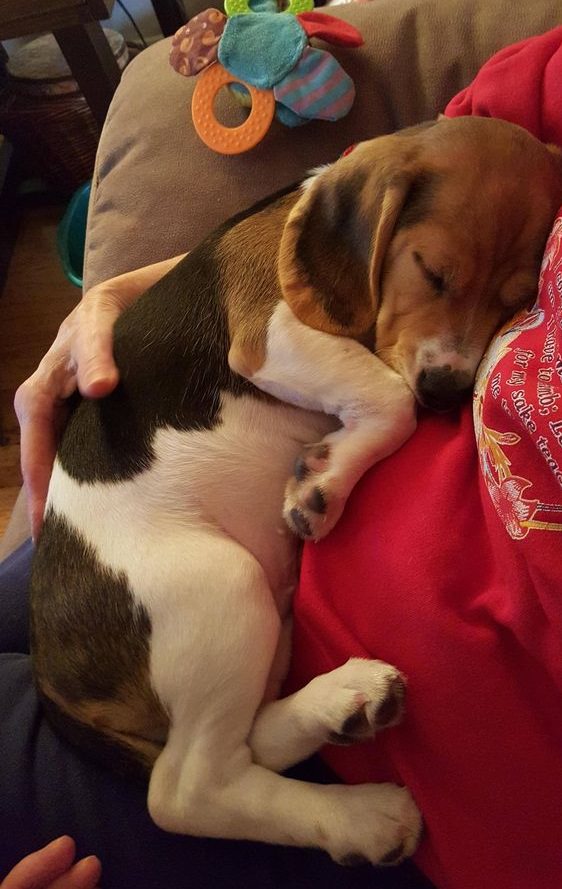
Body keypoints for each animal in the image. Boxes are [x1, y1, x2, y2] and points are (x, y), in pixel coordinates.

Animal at [29, 116, 560, 868]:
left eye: (516, 300)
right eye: (432, 271)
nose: (447, 391)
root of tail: (49, 673)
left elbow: (390, 395)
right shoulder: (272, 334)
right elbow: (390, 396)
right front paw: (324, 485)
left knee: (242, 744)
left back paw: (345, 702)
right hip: (222, 588)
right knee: (190, 788)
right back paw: (361, 815)